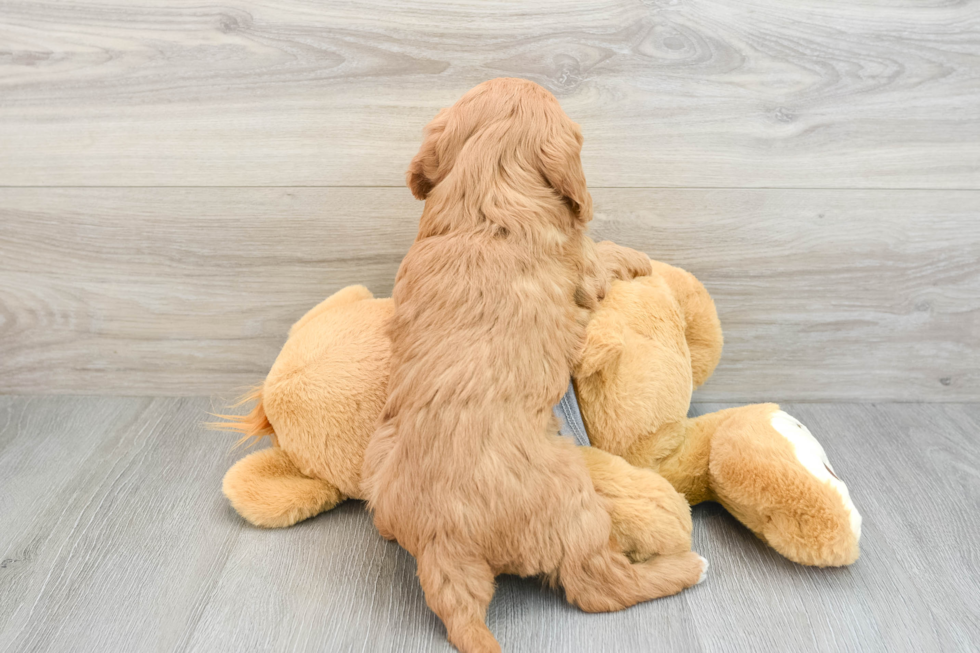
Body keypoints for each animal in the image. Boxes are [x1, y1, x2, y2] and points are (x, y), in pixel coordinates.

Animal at [360, 77, 704, 652]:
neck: (486, 204)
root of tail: (439, 537)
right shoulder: (583, 266)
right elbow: (604, 253)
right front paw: (636, 258)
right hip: (575, 506)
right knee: (599, 586)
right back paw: (687, 568)